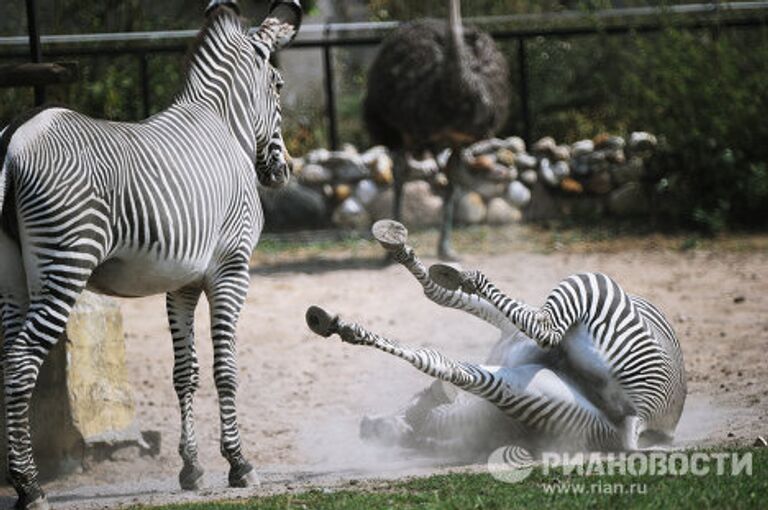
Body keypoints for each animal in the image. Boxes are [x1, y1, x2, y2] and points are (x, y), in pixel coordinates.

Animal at [0, 1, 304, 508]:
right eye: (278, 87)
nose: (282, 172)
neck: (225, 125)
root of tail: (12, 139)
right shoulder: (232, 270)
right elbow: (225, 368)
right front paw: (239, 464)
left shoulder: (181, 282)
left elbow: (186, 371)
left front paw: (192, 468)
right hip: (65, 263)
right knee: (23, 361)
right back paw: (30, 486)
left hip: (11, 274)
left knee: (7, 358)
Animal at [308, 221, 688, 460]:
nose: (365, 427)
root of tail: (646, 419)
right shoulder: (507, 331)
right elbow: (440, 296)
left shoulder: (506, 323)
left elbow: (438, 294)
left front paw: (407, 252)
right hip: (542, 398)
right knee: (463, 368)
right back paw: (343, 327)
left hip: (588, 291)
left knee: (541, 332)